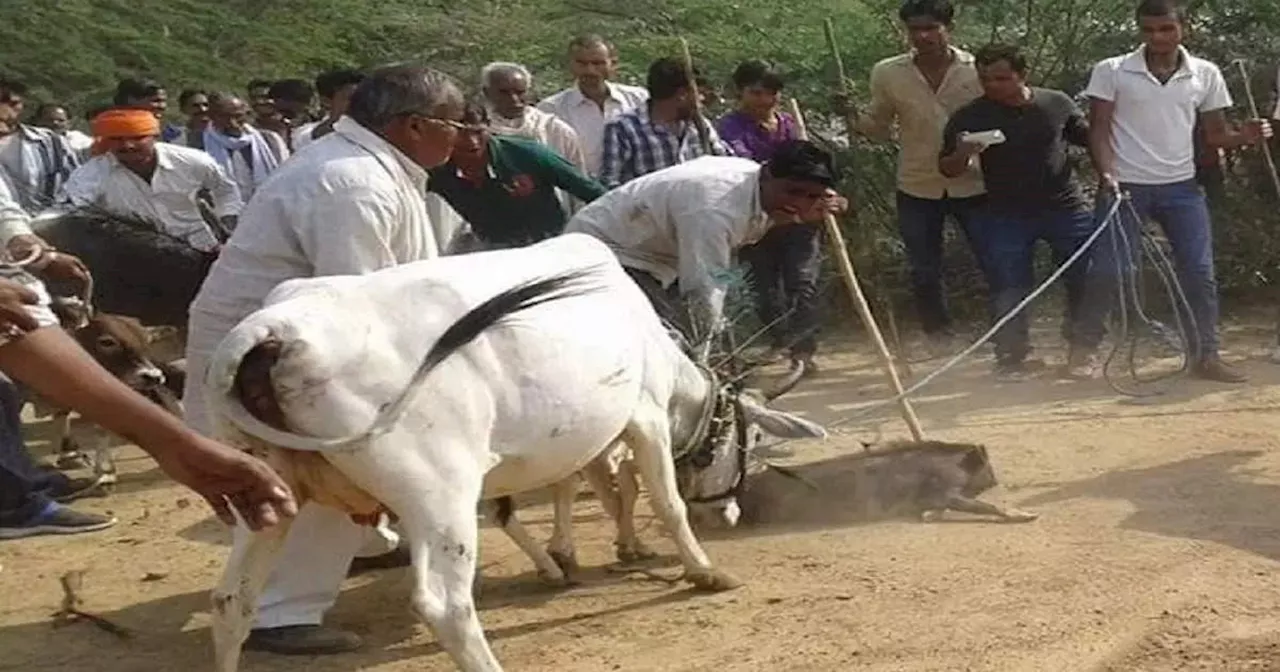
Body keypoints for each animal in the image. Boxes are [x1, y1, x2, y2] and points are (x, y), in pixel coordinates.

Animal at [199, 232, 819, 665]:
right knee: (445, 607)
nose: (731, 513)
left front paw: (591, 551)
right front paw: (702, 569)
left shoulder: (571, 432)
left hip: (265, 497)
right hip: (439, 499)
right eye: (749, 438)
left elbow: (586, 486)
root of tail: (271, 332)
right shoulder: (642, 418)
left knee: (233, 603)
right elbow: (660, 499)